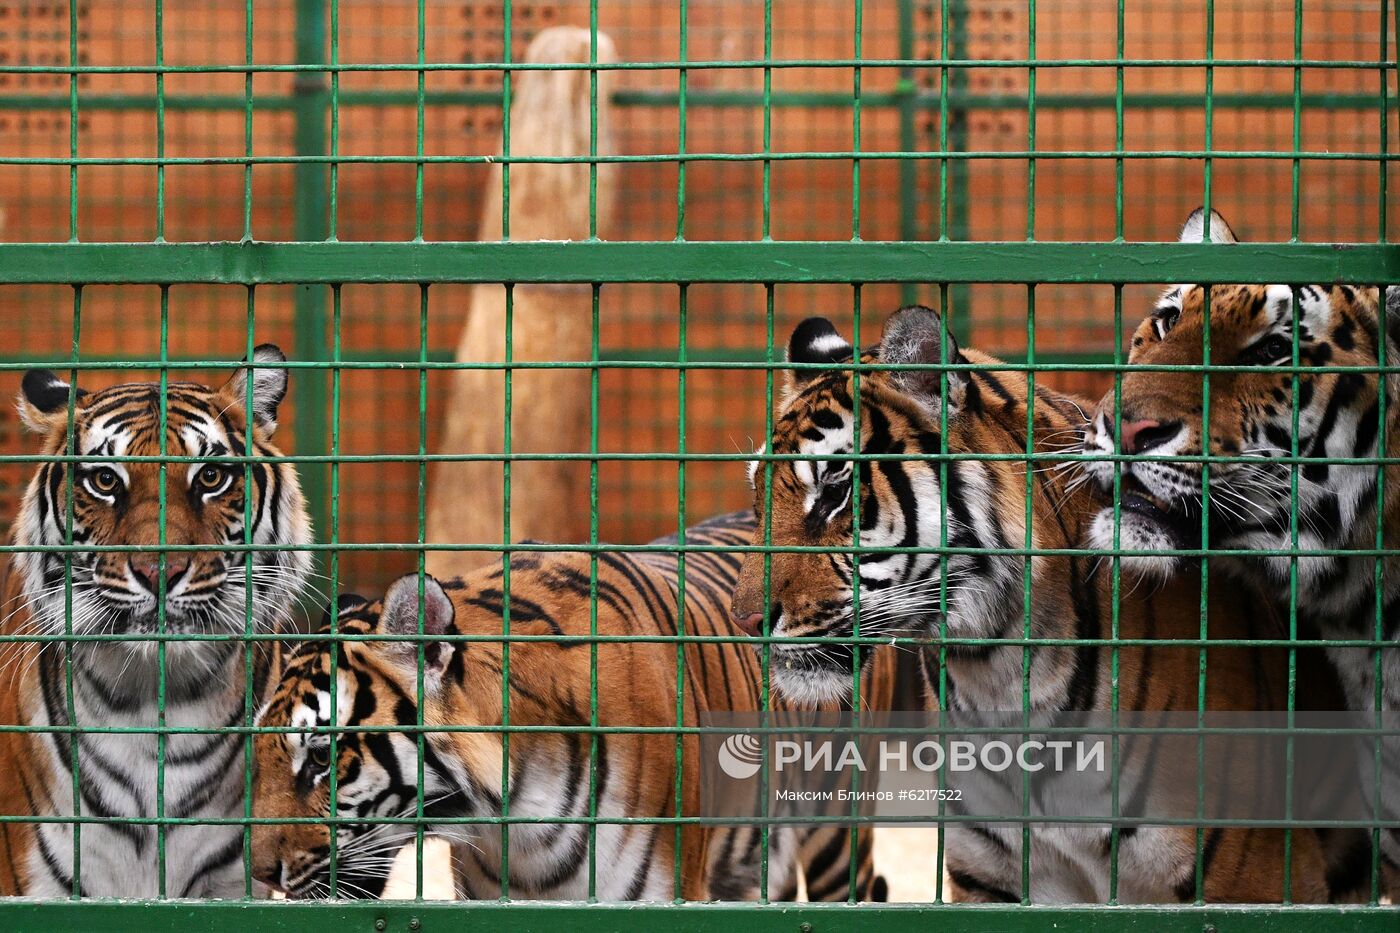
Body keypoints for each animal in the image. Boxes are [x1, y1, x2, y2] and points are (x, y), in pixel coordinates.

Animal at [733, 305, 1332, 902]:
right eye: (759, 495)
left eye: (834, 491)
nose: (745, 621)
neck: (993, 671)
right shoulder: (996, 878)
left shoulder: (1250, 880)